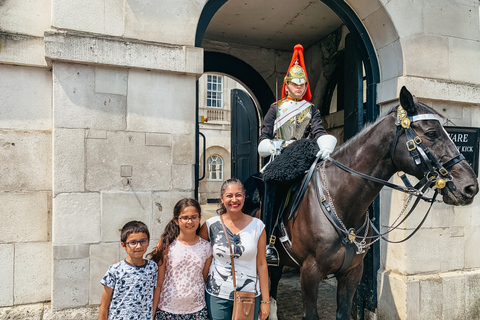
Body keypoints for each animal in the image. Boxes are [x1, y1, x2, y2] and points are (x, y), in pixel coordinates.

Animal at [249, 86, 478, 318]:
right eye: (432, 133)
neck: (343, 205)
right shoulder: (310, 272)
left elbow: (343, 311)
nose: (470, 187)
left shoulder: (352, 272)